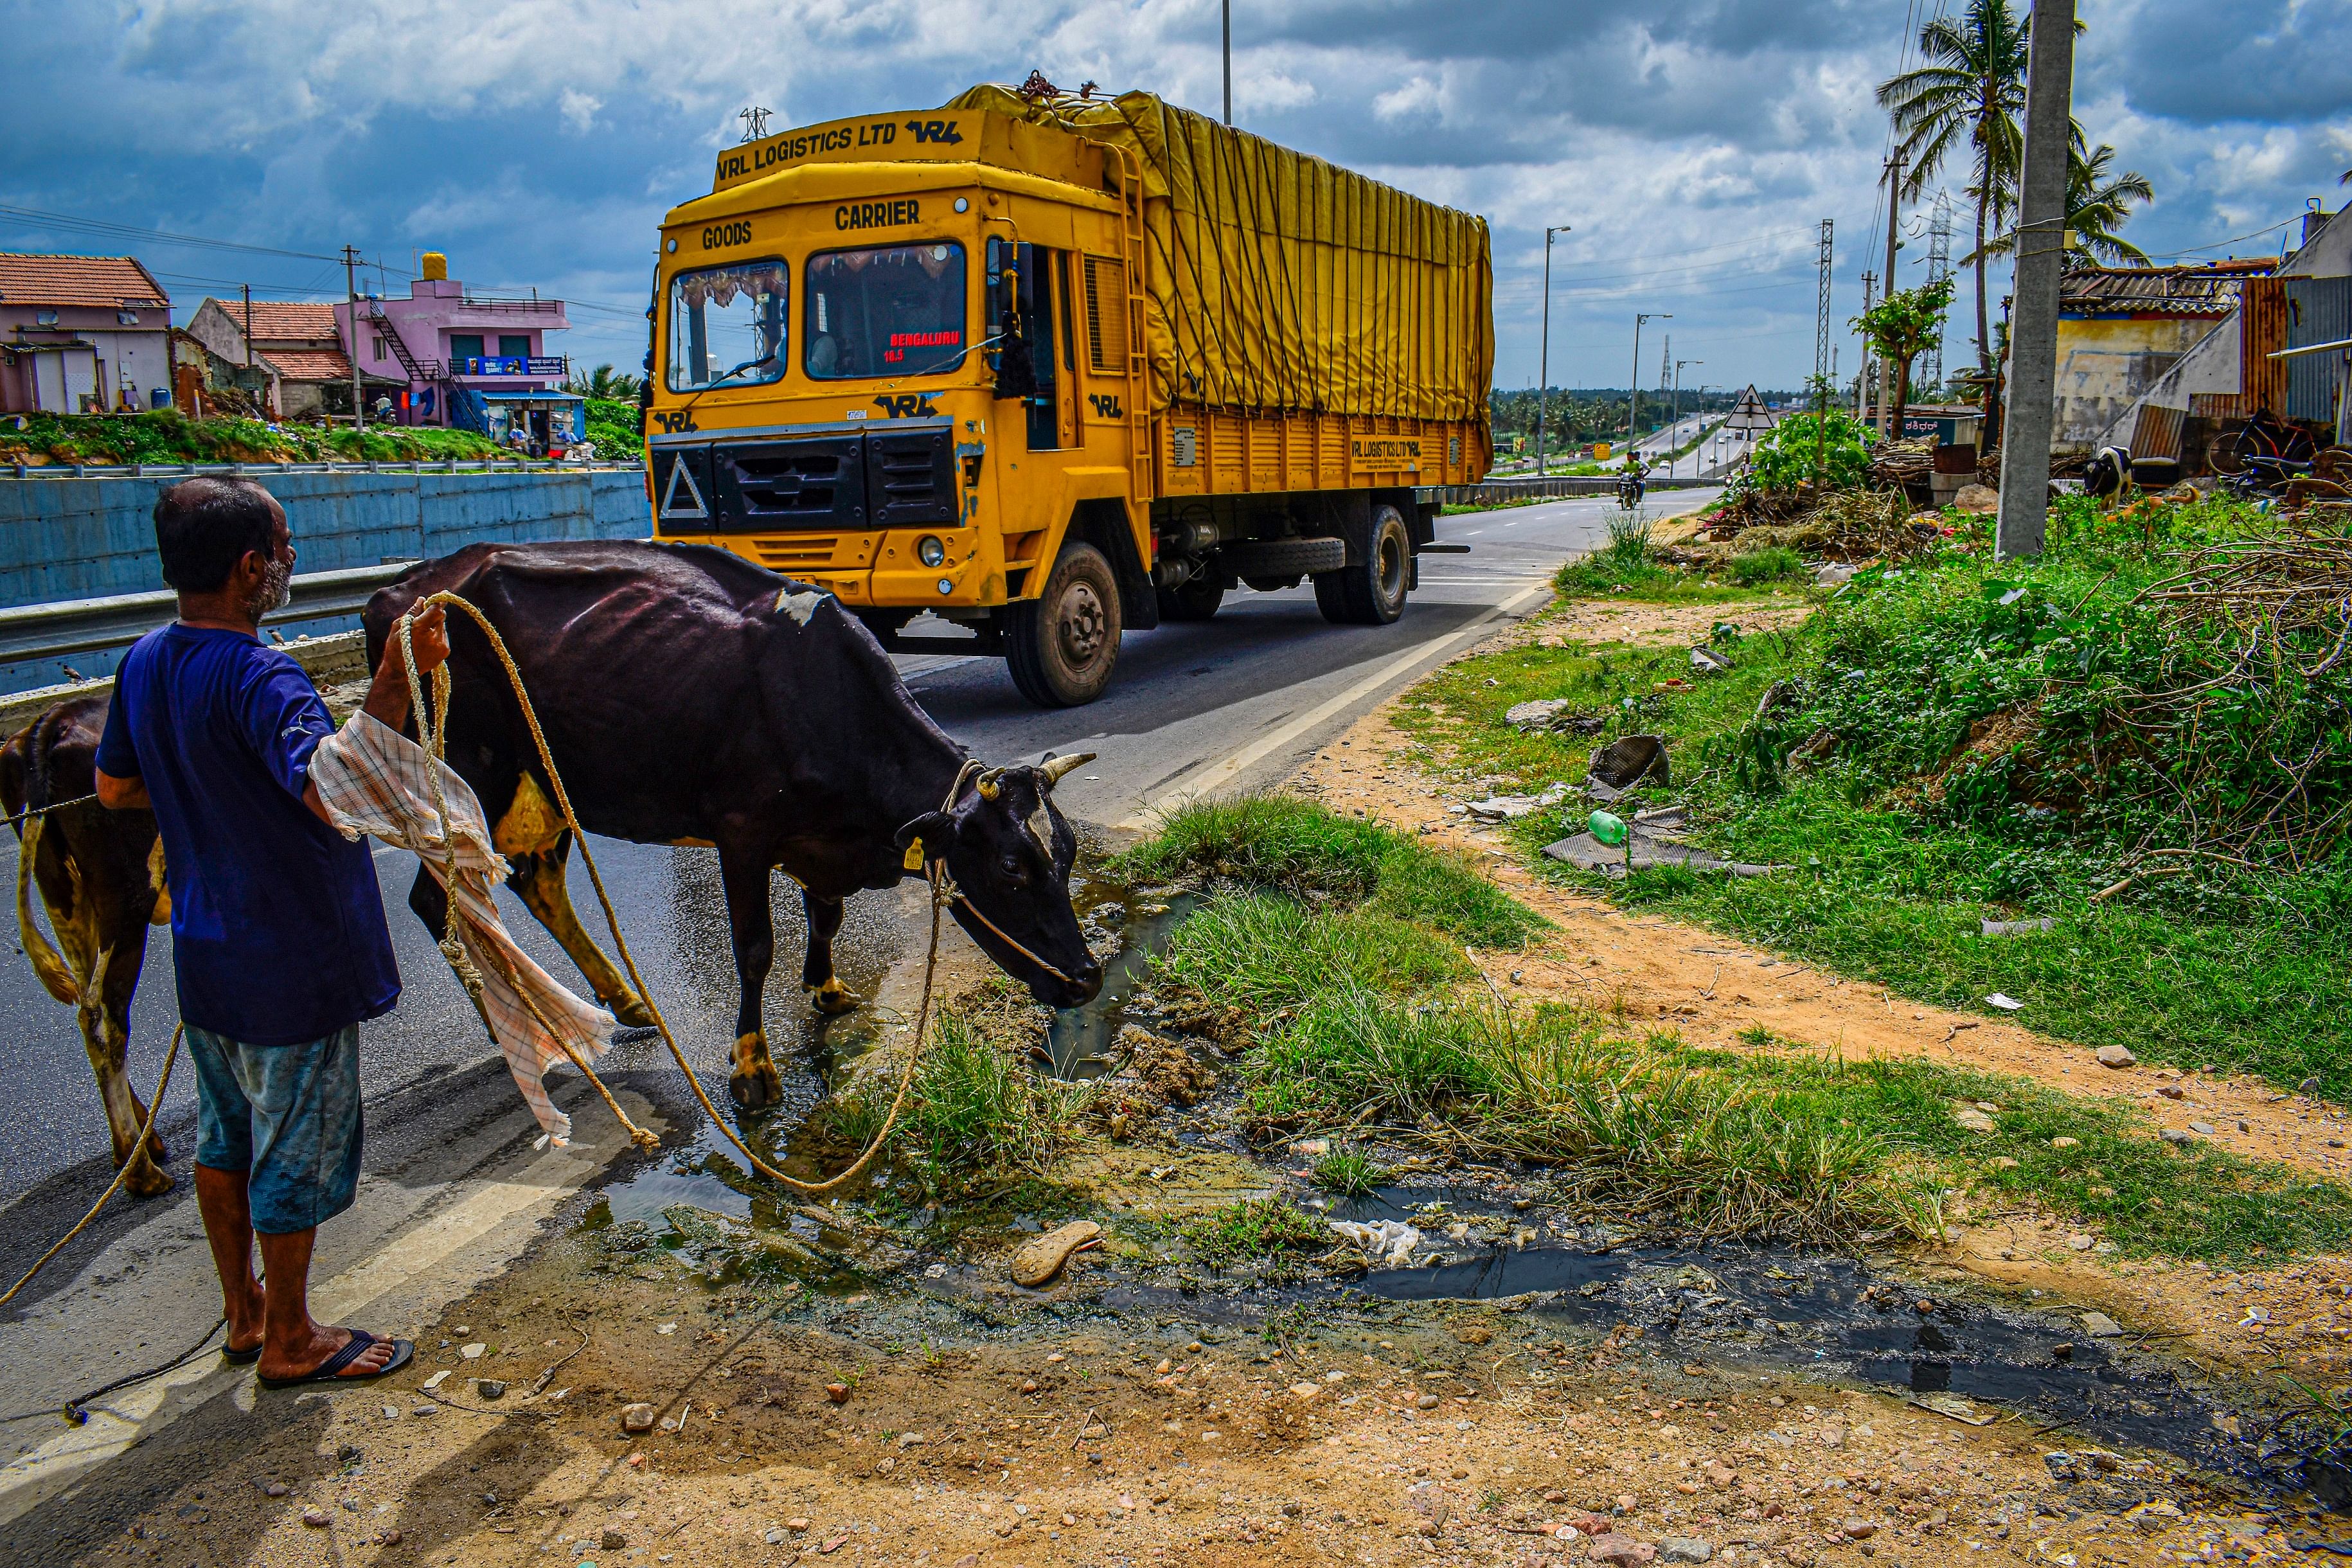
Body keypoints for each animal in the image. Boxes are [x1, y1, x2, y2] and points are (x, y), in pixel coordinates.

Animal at [364, 540, 1100, 1105]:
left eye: (1067, 853)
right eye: (1011, 868)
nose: (1088, 978)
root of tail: (401, 591)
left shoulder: (820, 841)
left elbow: (826, 916)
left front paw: (828, 988)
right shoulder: (743, 834)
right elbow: (754, 949)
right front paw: (753, 1066)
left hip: (545, 782)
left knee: (537, 883)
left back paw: (626, 1002)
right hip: (468, 773)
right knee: (435, 897)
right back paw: (506, 1023)